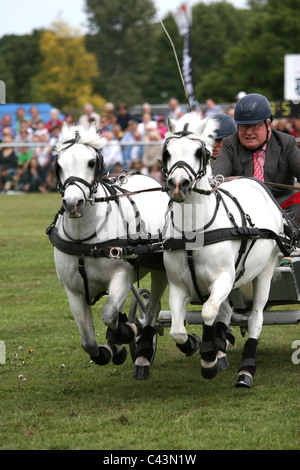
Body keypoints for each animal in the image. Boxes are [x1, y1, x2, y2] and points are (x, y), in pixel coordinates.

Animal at [47, 123, 169, 380]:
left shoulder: (121, 276)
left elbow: (110, 315)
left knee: (152, 311)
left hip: (162, 268)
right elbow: (88, 342)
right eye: (59, 165)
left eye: (91, 162)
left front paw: (127, 331)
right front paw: (110, 349)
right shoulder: (73, 291)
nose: (73, 204)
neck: (86, 238)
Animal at [163, 112, 284, 388]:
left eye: (199, 152)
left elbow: (208, 310)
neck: (193, 231)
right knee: (227, 312)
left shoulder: (224, 278)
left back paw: (246, 369)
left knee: (256, 318)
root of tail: (255, 183)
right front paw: (195, 344)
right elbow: (177, 330)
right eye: (167, 152)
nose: (178, 185)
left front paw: (208, 360)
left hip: (264, 271)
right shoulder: (178, 286)